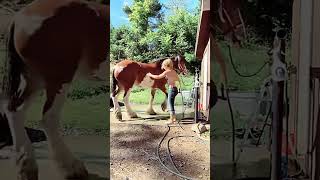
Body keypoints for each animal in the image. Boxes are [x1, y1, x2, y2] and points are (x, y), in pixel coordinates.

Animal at [0, 0, 108, 179]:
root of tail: (19, 17)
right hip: (59, 79)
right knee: (49, 118)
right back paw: (72, 168)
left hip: (35, 79)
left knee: (15, 110)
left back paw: (27, 167)